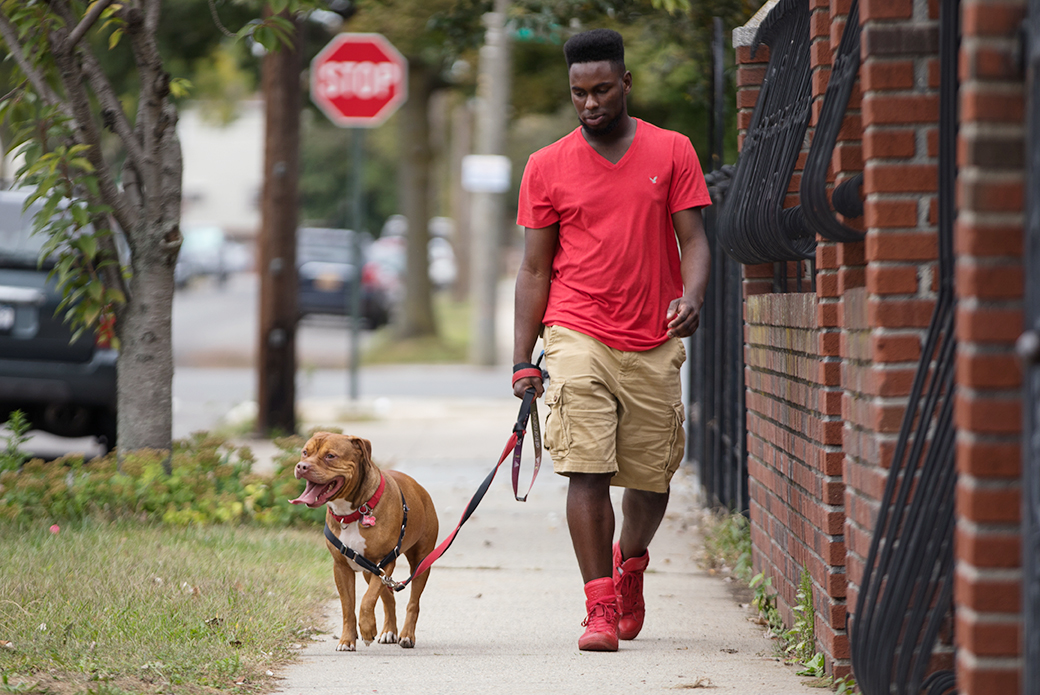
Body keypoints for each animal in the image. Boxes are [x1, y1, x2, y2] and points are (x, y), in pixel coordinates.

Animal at [291, 430, 436, 649]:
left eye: (330, 456)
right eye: (305, 452)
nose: (302, 466)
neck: (352, 513)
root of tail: (419, 487)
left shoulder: (384, 562)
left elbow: (367, 600)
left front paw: (367, 630)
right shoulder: (342, 567)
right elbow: (348, 606)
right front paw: (347, 640)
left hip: (420, 562)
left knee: (413, 602)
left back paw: (406, 635)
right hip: (370, 570)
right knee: (388, 597)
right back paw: (389, 631)